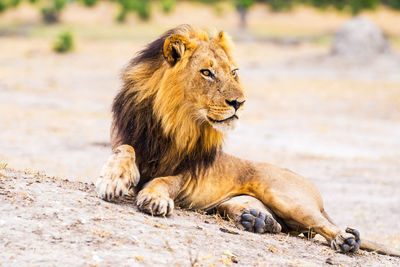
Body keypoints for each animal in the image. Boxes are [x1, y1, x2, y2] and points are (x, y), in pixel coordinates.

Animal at [96, 24, 400, 258]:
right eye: (206, 72)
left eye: (234, 72)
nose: (239, 103)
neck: (175, 121)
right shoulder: (126, 138)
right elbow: (125, 150)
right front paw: (113, 179)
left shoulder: (187, 171)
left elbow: (164, 181)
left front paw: (154, 198)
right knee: (278, 224)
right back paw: (256, 220)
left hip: (285, 196)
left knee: (320, 225)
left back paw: (345, 240)